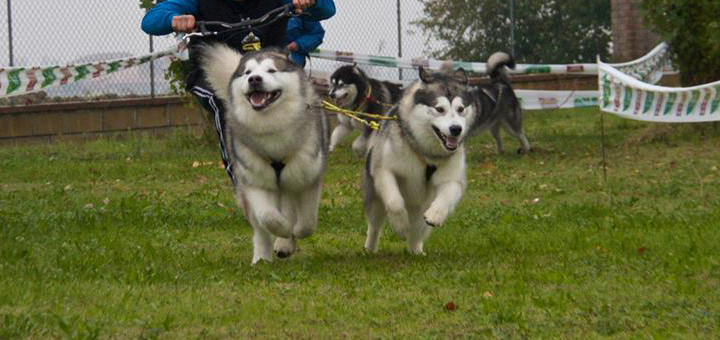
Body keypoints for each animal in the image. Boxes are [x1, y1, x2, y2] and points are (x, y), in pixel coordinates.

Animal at [200, 43, 330, 266]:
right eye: (247, 72)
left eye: (271, 70)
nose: (254, 79)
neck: (272, 127)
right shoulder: (254, 181)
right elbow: (267, 216)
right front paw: (283, 231)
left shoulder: (308, 179)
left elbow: (307, 222)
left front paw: (293, 233)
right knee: (260, 226)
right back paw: (262, 256)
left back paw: (285, 244)